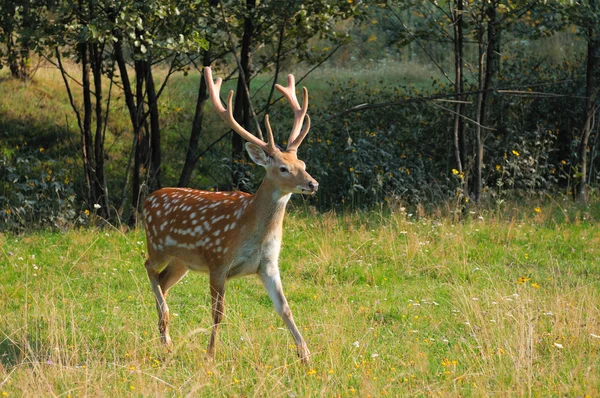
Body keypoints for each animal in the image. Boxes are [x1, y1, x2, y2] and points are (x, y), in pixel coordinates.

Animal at [142, 66, 318, 364]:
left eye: (302, 163)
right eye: (283, 168)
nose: (313, 184)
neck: (251, 230)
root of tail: (146, 200)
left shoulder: (268, 264)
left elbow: (285, 308)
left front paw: (305, 355)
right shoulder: (218, 259)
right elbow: (218, 313)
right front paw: (210, 355)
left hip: (182, 261)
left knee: (163, 282)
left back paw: (165, 340)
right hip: (158, 245)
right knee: (148, 268)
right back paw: (166, 328)